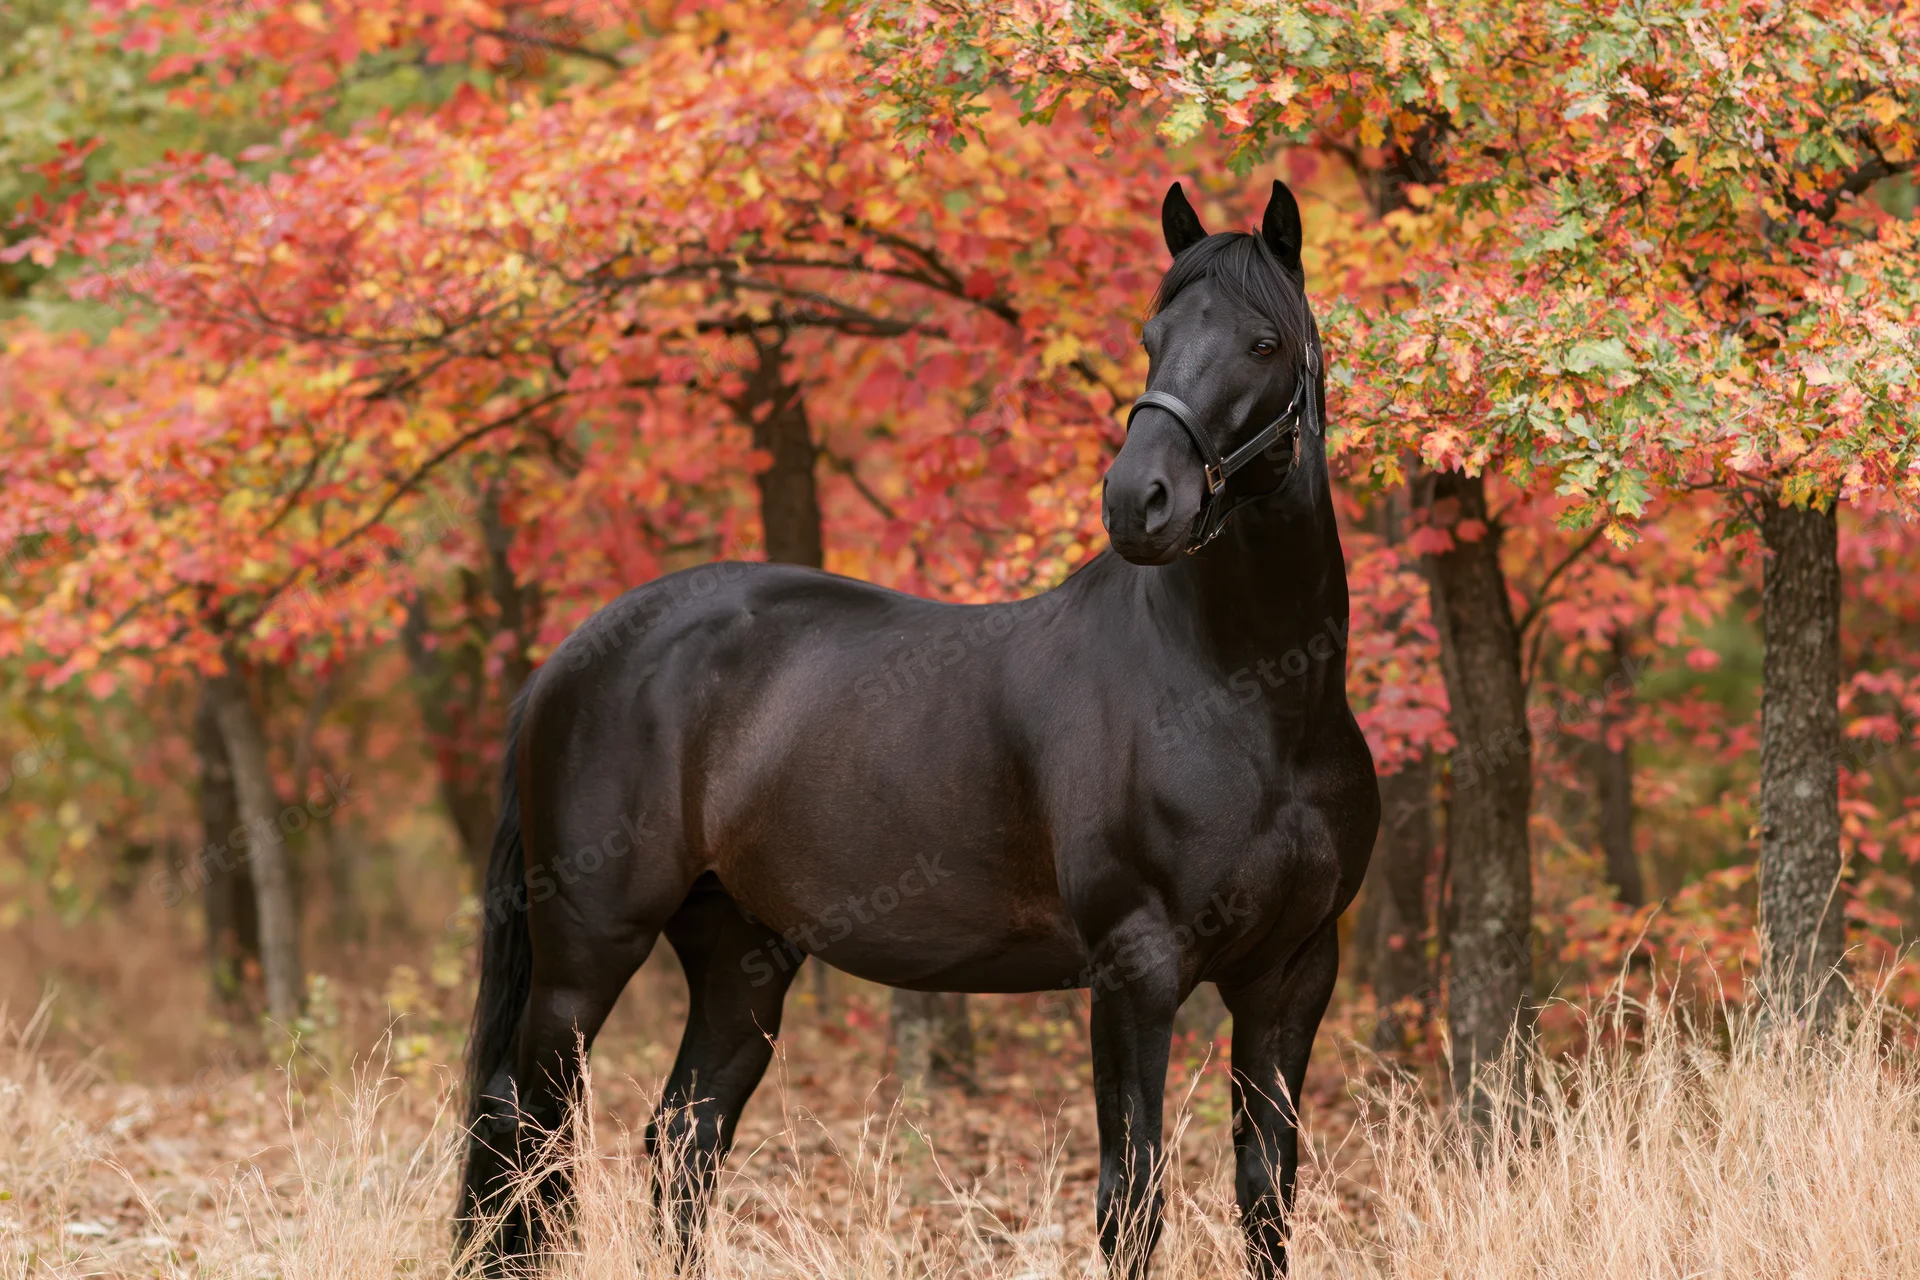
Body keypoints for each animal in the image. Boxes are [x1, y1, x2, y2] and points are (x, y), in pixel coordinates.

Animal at [456, 178, 1379, 1278]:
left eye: (1262, 341)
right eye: (1152, 336)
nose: (1139, 501)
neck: (1251, 699)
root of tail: (571, 654)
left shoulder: (1292, 976)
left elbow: (1266, 1194)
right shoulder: (1135, 969)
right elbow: (1132, 1198)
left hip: (741, 954)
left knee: (683, 1135)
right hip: (585, 953)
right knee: (526, 1135)